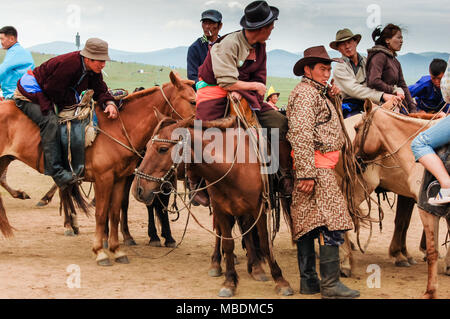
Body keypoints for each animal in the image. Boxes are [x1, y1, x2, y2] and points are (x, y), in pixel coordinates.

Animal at [0, 71, 197, 266]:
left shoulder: (120, 179)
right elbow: (102, 214)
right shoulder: (104, 179)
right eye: (193, 101)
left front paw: (117, 250)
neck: (119, 129)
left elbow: (115, 213)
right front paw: (100, 251)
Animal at [131, 114, 292, 298]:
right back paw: (218, 263)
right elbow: (228, 244)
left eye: (163, 149)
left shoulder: (257, 207)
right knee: (223, 232)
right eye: (147, 147)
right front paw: (229, 281)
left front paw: (280, 280)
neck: (235, 167)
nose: (137, 190)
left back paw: (256, 266)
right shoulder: (221, 209)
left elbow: (265, 243)